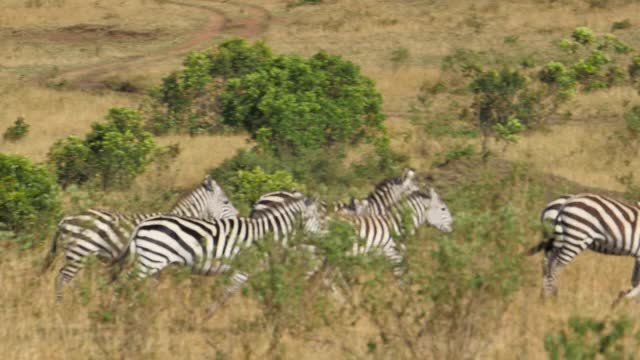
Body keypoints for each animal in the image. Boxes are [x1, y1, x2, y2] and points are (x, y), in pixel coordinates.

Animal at [42, 175, 239, 300]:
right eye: (226, 201)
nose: (238, 218)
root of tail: (66, 218)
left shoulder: (157, 263)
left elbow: (151, 286)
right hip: (79, 252)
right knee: (62, 279)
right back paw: (59, 305)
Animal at [116, 191, 324, 312]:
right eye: (318, 218)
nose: (326, 237)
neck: (266, 235)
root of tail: (142, 224)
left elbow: (265, 293)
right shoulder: (242, 272)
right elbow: (224, 295)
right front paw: (203, 317)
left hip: (155, 263)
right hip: (150, 260)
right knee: (125, 282)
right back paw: (120, 309)